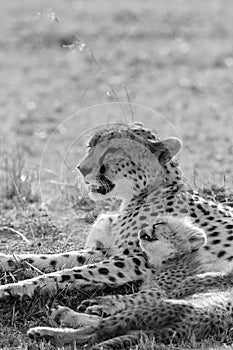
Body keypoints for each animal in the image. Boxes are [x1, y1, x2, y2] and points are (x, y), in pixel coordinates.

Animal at [0, 122, 232, 304]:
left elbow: (68, 272)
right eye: (90, 146)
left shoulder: (137, 258)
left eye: (112, 151)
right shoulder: (107, 250)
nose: (82, 168)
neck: (138, 196)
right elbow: (52, 259)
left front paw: (16, 288)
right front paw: (6, 261)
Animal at [28, 215, 233, 348]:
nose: (142, 228)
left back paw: (55, 322)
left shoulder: (162, 292)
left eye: (159, 223)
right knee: (103, 328)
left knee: (98, 329)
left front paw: (103, 303)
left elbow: (129, 297)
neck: (174, 258)